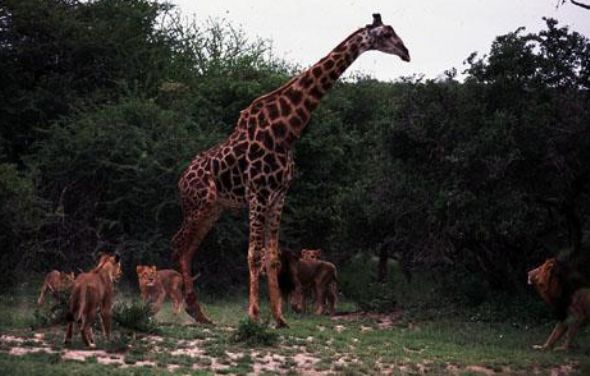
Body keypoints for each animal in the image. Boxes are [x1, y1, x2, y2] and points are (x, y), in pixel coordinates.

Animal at [173, 13, 410, 328]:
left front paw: (279, 318)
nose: (406, 52)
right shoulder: (258, 194)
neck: (285, 132)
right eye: (385, 34)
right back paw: (184, 309)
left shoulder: (278, 196)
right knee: (179, 244)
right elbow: (253, 255)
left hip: (213, 209)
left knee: (188, 248)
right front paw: (254, 315)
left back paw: (198, 313)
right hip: (198, 204)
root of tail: (181, 179)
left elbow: (272, 257)